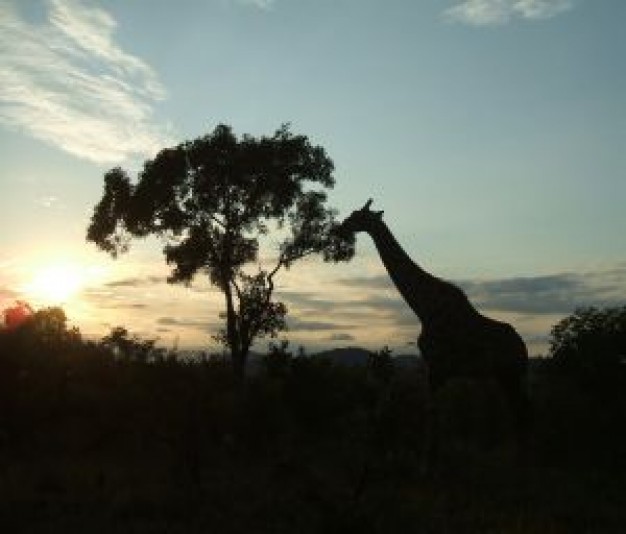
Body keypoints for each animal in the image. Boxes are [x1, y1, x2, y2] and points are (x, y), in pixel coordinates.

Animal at [338, 199, 528, 446]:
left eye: (357, 215)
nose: (340, 228)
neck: (424, 309)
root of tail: (523, 348)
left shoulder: (437, 368)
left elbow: (432, 418)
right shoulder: (436, 370)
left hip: (511, 373)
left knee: (521, 416)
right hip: (504, 376)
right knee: (517, 416)